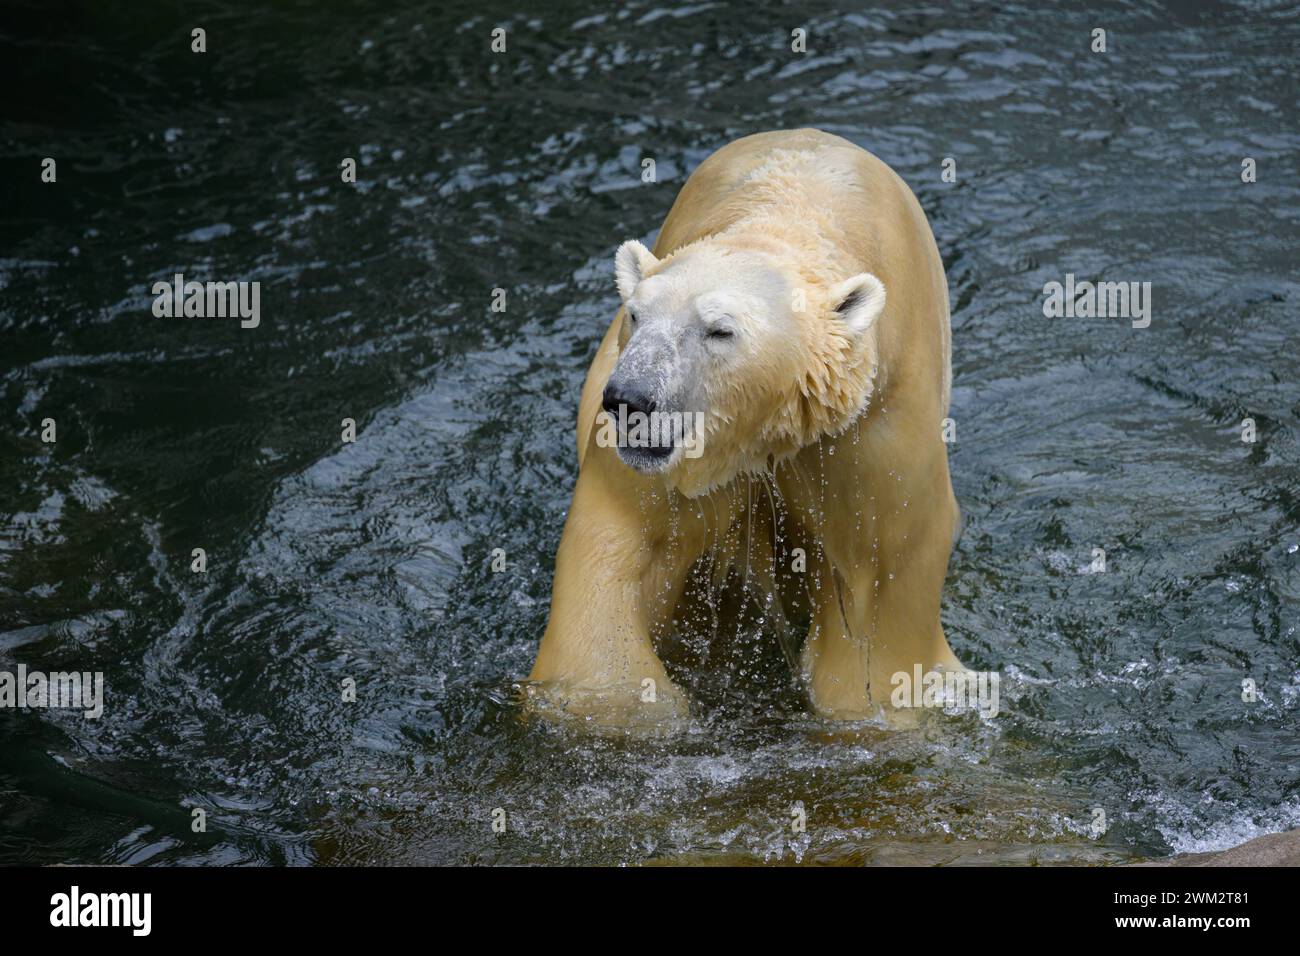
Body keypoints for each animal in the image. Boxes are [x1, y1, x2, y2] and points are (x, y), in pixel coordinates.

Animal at [525, 128, 967, 723]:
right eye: (637, 314)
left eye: (720, 330)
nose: (629, 401)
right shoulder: (665, 461)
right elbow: (616, 546)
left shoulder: (869, 435)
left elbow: (879, 590)